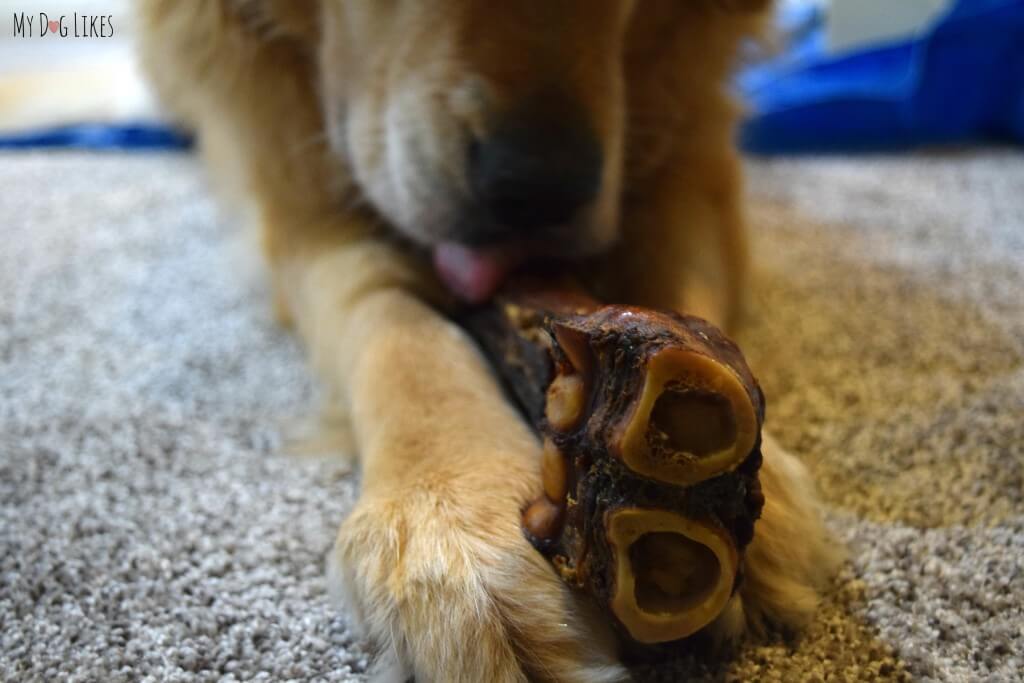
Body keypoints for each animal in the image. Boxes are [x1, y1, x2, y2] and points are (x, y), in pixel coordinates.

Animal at [138, 2, 839, 679]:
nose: (539, 188)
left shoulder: (693, 155)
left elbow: (676, 281)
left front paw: (762, 507)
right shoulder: (298, 201)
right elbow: (390, 318)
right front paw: (454, 519)